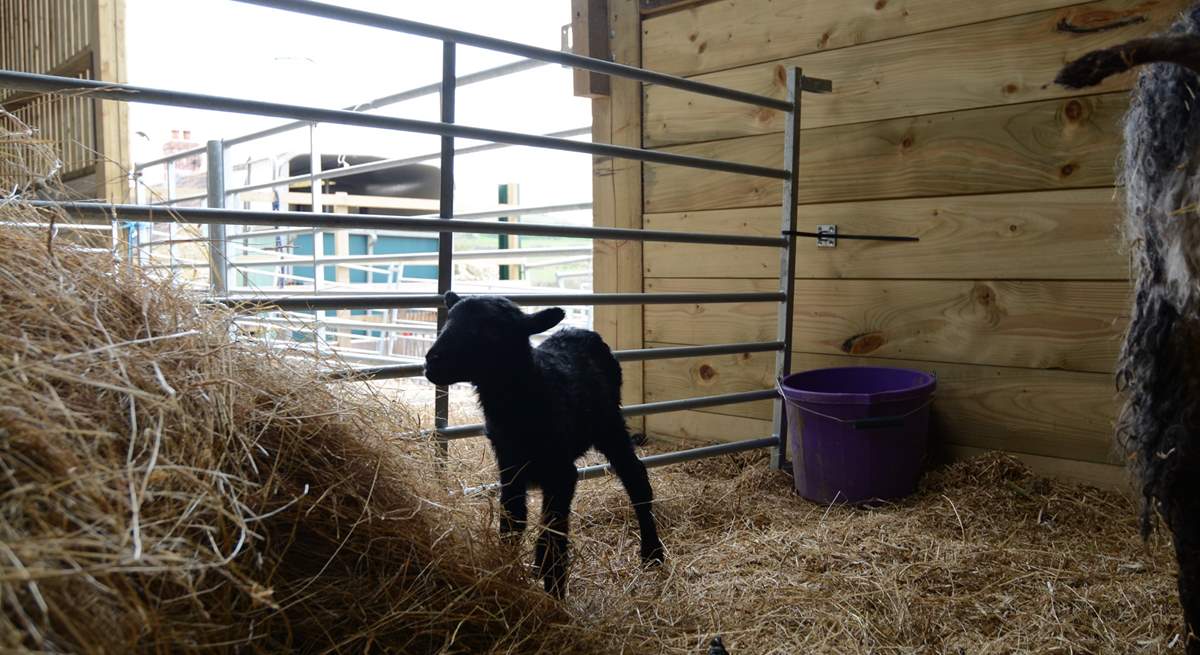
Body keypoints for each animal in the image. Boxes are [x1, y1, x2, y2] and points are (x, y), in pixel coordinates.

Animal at [422, 291, 667, 597]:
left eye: (491, 329)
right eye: (449, 320)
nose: (432, 361)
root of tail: (583, 331)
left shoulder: (561, 473)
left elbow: (553, 536)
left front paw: (555, 594)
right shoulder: (509, 467)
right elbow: (513, 521)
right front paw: (510, 573)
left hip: (609, 424)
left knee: (635, 475)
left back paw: (652, 552)